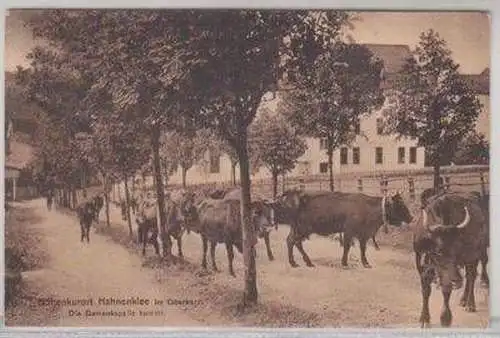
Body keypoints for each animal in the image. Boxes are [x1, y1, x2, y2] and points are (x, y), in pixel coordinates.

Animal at [272, 191, 412, 268]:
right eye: (400, 205)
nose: (411, 217)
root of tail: (299, 197)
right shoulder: (349, 232)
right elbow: (347, 247)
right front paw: (344, 263)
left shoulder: (363, 235)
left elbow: (363, 249)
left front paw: (366, 263)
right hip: (302, 229)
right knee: (293, 242)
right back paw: (296, 263)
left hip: (298, 229)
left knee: (292, 242)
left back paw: (304, 262)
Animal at [414, 193, 488, 328]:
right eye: (438, 251)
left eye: (456, 249)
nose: (457, 280)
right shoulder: (420, 263)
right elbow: (426, 290)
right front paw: (424, 318)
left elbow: (446, 289)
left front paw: (445, 318)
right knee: (468, 277)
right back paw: (463, 299)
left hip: (475, 254)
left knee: (471, 276)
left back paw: (470, 303)